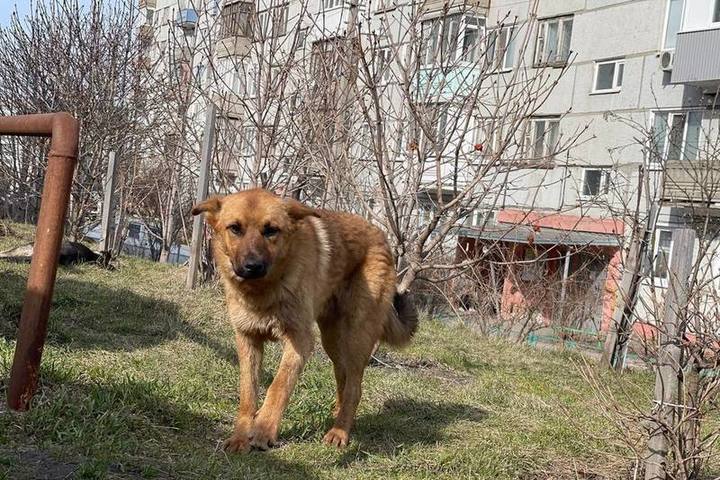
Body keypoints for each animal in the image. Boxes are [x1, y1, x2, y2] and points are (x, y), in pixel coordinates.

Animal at [193, 188, 416, 450]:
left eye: (271, 230)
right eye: (235, 228)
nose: (252, 266)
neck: (263, 290)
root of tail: (380, 234)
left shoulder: (299, 340)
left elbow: (278, 386)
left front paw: (264, 430)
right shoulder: (248, 340)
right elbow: (248, 392)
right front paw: (240, 436)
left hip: (357, 337)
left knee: (355, 386)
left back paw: (339, 431)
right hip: (332, 340)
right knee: (343, 375)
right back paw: (338, 413)